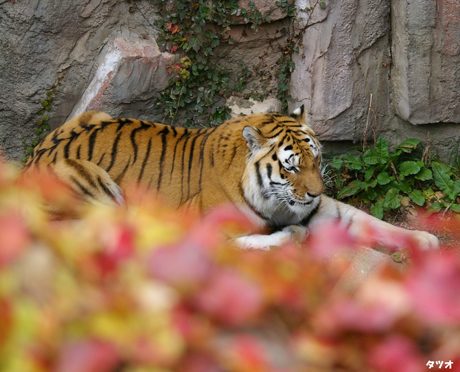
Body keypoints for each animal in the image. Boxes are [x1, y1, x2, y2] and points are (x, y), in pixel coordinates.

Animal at [23, 106, 440, 251]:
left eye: (317, 159)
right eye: (291, 166)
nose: (315, 193)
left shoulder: (322, 210)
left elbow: (370, 221)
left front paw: (424, 239)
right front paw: (288, 234)